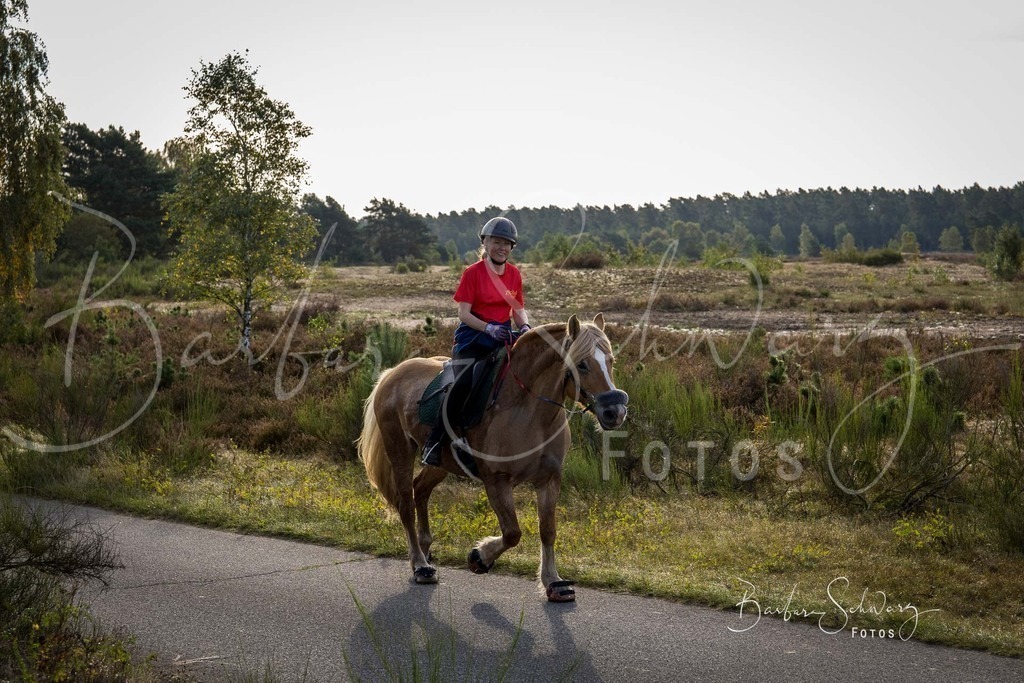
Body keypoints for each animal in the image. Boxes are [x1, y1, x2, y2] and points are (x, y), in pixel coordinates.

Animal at [356, 313, 628, 601]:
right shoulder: (497, 481)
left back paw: (426, 548)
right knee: (406, 503)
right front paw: (480, 557)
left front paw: (553, 581)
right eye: (582, 364)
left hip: (441, 462)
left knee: (420, 489)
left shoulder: (549, 479)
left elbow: (548, 530)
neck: (529, 411)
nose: (615, 411)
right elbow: (512, 533)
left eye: (610, 361)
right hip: (399, 449)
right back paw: (420, 564)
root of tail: (391, 373)